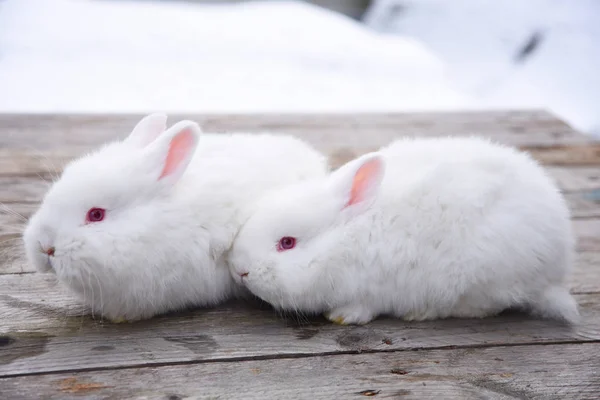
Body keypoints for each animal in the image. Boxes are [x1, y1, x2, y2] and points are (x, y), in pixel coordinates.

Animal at [227, 137, 580, 324]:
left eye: (287, 243)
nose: (239, 270)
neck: (346, 239)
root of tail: (556, 268)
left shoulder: (375, 287)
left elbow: (364, 306)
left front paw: (343, 316)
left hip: (484, 277)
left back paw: (420, 313)